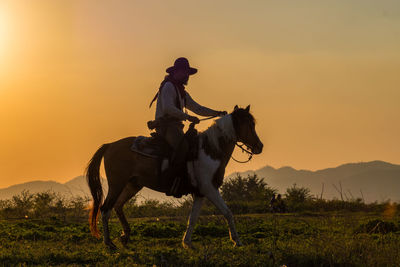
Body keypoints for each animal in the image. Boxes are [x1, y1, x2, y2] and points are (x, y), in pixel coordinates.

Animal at [86, 104, 264, 249]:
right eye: (250, 124)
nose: (259, 146)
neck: (211, 150)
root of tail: (110, 145)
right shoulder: (209, 188)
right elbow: (227, 212)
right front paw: (237, 241)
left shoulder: (200, 192)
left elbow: (193, 218)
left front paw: (187, 243)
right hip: (117, 184)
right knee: (105, 209)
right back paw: (109, 243)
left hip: (133, 184)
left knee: (118, 206)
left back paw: (125, 236)